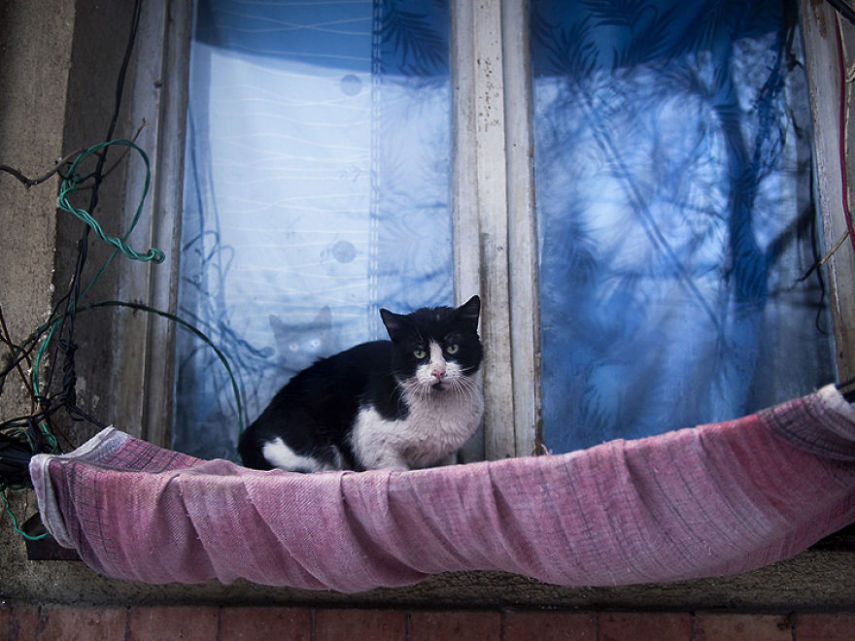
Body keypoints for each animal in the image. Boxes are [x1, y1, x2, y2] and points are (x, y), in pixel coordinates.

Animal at [237, 296, 484, 470]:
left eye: (453, 348)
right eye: (419, 352)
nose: (438, 371)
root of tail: (253, 428)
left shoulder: (447, 453)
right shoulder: (375, 444)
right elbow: (396, 469)